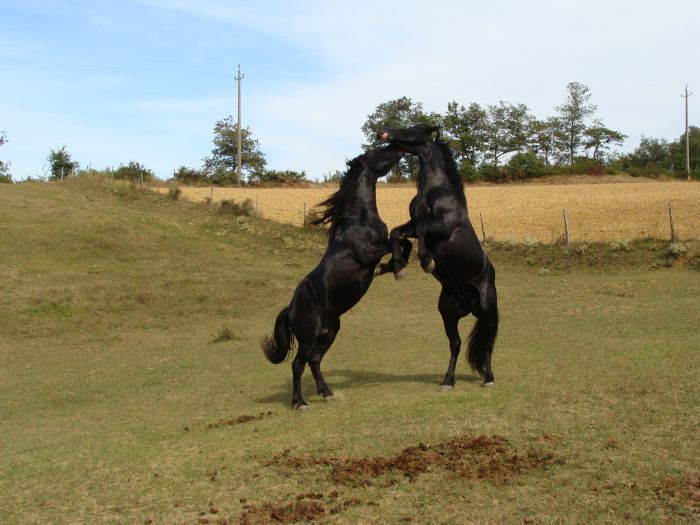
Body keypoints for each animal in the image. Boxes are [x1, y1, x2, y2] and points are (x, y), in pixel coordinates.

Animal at [262, 144, 410, 410]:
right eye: (378, 151)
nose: (399, 148)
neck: (357, 220)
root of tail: (290, 310)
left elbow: (403, 242)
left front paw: (392, 267)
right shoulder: (367, 253)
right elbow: (397, 239)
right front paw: (397, 267)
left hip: (330, 331)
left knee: (314, 360)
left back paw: (327, 393)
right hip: (309, 335)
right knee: (298, 364)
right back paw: (299, 402)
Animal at [378, 125, 498, 388]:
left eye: (411, 128)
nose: (384, 133)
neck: (436, 189)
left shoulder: (442, 226)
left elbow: (423, 231)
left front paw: (427, 261)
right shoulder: (412, 225)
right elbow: (396, 232)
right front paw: (396, 266)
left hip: (486, 310)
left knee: (486, 344)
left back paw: (489, 379)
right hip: (448, 313)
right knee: (456, 344)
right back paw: (447, 381)